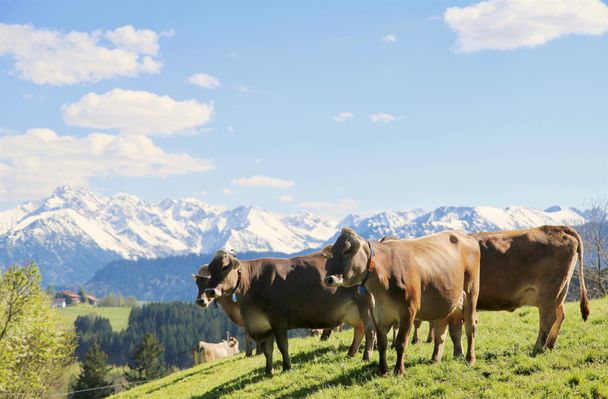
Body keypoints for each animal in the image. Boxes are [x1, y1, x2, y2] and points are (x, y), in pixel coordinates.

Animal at [195, 250, 376, 376]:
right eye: (210, 270)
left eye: (225, 268)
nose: (210, 291)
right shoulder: (262, 324)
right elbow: (267, 350)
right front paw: (269, 371)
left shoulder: (278, 319)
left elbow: (282, 346)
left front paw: (286, 367)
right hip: (352, 310)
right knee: (359, 330)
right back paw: (350, 354)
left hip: (364, 305)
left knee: (370, 331)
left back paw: (366, 356)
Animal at [324, 228, 480, 376]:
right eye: (332, 253)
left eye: (347, 250)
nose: (328, 279)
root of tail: (465, 235)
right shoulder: (377, 312)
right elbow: (382, 342)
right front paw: (382, 370)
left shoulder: (409, 310)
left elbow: (401, 342)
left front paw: (399, 370)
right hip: (444, 302)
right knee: (443, 330)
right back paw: (438, 358)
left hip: (471, 292)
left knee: (470, 327)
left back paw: (470, 358)